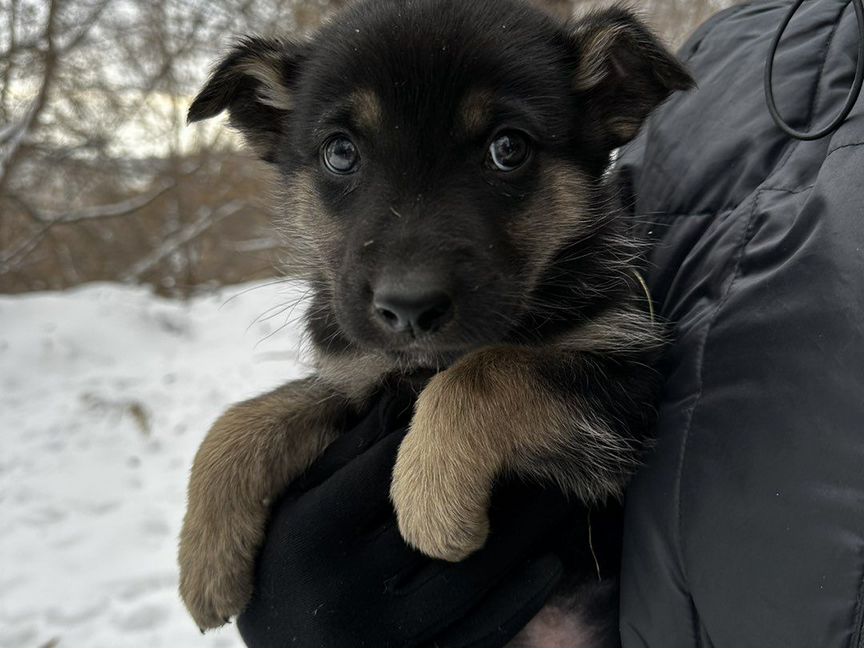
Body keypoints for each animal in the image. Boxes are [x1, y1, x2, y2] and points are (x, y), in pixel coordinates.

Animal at [179, 0, 692, 636]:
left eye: (508, 148)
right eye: (340, 152)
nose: (409, 307)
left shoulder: (625, 382)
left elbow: (483, 373)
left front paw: (431, 499)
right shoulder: (358, 382)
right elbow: (252, 415)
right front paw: (206, 557)